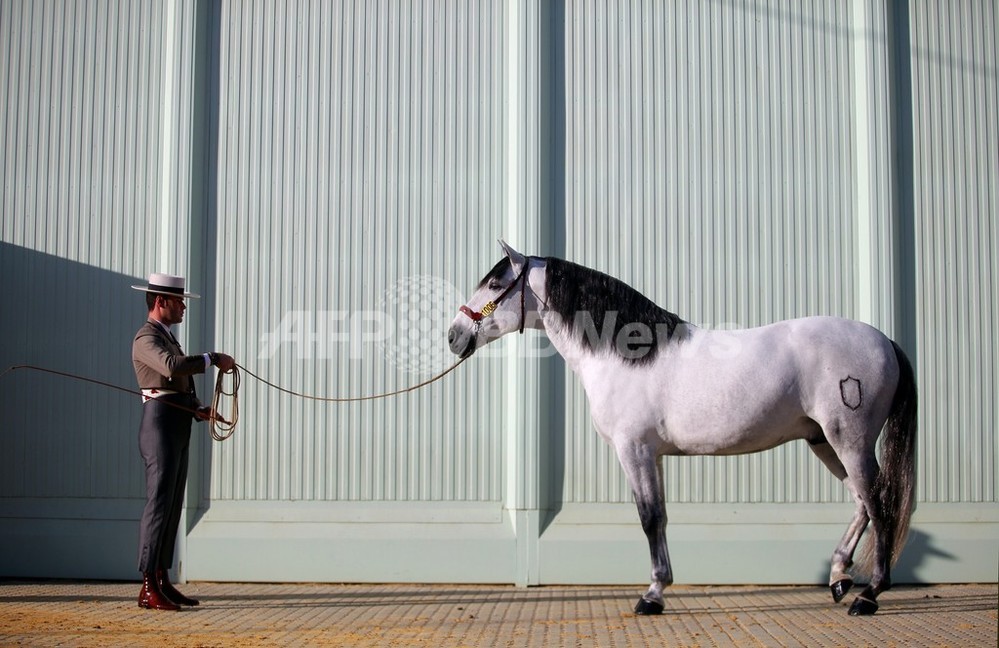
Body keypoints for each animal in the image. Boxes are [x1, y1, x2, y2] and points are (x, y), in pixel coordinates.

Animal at [447, 241, 917, 617]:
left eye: (495, 284)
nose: (453, 336)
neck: (626, 355)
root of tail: (886, 342)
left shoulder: (634, 449)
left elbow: (650, 517)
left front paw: (652, 596)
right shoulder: (651, 454)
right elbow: (661, 515)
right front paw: (659, 588)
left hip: (850, 441)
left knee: (880, 505)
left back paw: (868, 596)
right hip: (825, 442)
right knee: (861, 502)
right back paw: (839, 578)